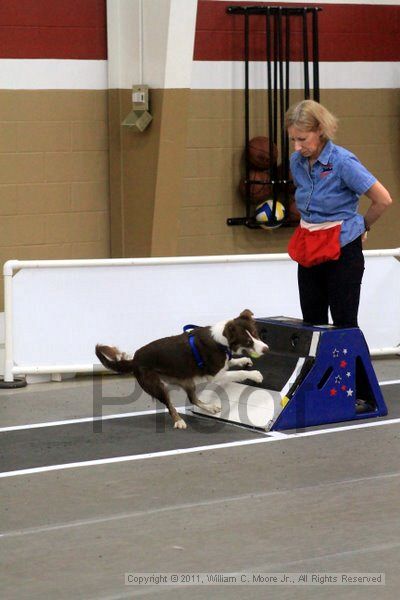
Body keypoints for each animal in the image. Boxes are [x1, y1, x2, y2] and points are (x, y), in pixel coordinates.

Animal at [95, 310, 268, 432]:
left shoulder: (223, 364)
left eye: (256, 334)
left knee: (193, 399)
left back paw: (209, 407)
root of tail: (134, 360)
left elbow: (232, 362)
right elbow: (238, 373)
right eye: (248, 341)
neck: (221, 341)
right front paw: (255, 375)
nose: (266, 349)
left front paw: (244, 360)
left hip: (187, 381)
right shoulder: (215, 374)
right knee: (170, 405)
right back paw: (179, 421)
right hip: (156, 385)